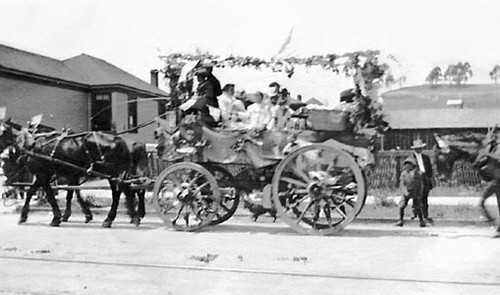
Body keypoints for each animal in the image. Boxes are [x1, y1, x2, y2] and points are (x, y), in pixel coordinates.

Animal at [0, 119, 148, 229]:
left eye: (3, 131)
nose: (7, 183)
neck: (33, 144)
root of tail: (119, 140)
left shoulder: (45, 174)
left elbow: (51, 196)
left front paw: (57, 218)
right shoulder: (45, 174)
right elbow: (32, 192)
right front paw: (23, 216)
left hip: (111, 173)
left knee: (120, 193)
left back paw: (112, 219)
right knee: (129, 190)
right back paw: (133, 216)